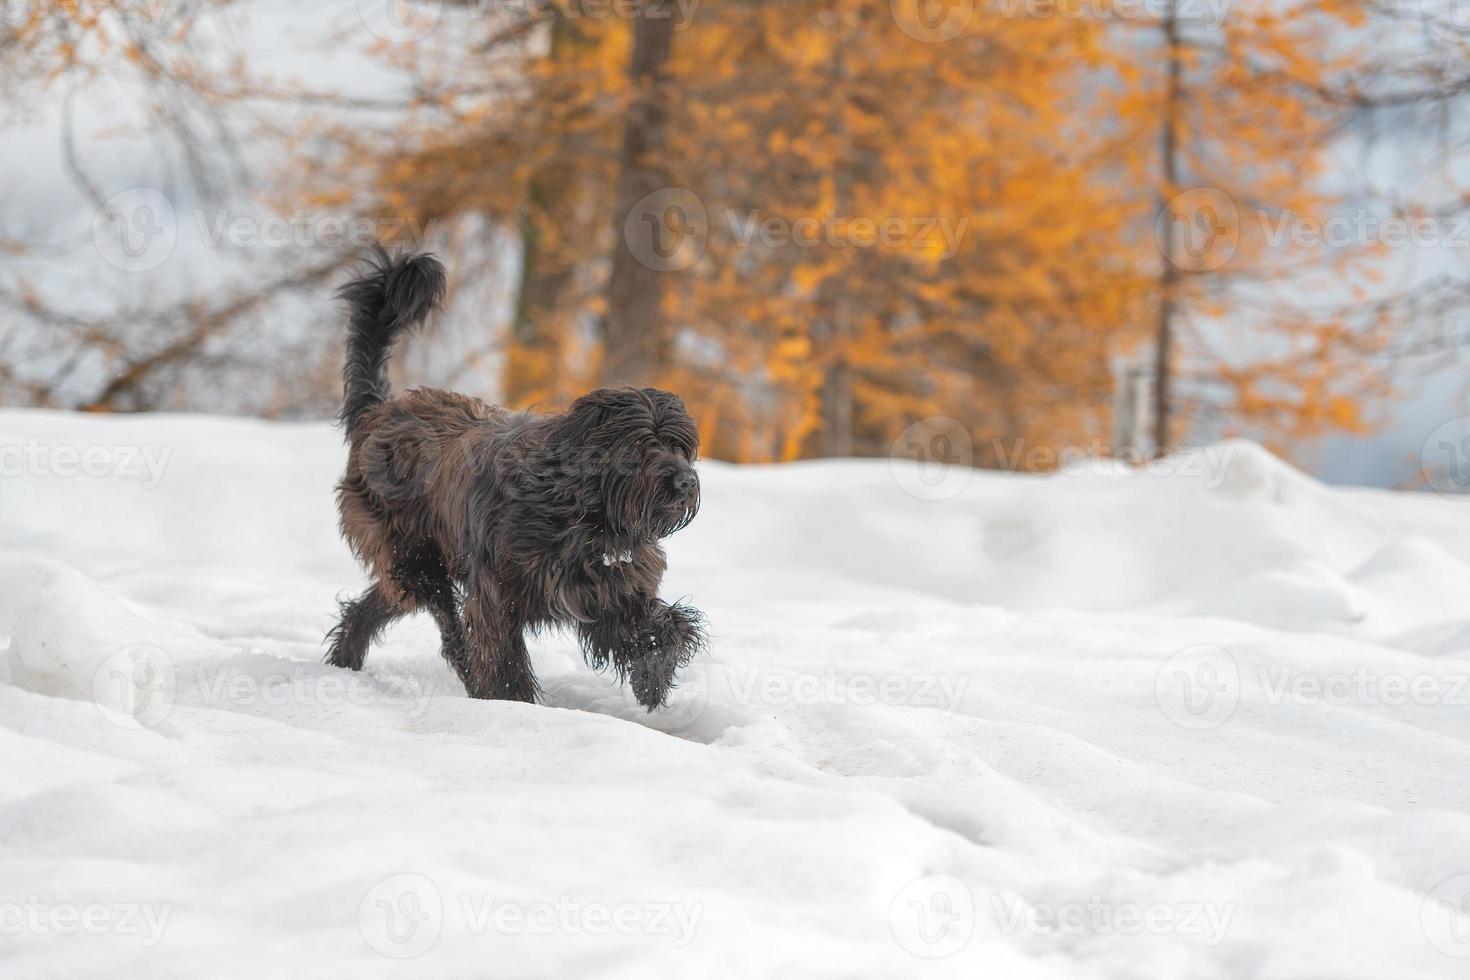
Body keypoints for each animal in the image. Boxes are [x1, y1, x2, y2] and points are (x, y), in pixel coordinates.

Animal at [327, 245, 705, 708]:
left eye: (678, 445)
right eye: (639, 444)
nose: (686, 482)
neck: (580, 510)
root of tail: (378, 412)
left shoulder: (609, 587)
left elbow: (659, 625)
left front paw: (653, 673)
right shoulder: (498, 591)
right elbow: (502, 653)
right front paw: (515, 706)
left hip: (412, 560)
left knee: (378, 602)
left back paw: (345, 660)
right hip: (414, 552)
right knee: (449, 627)